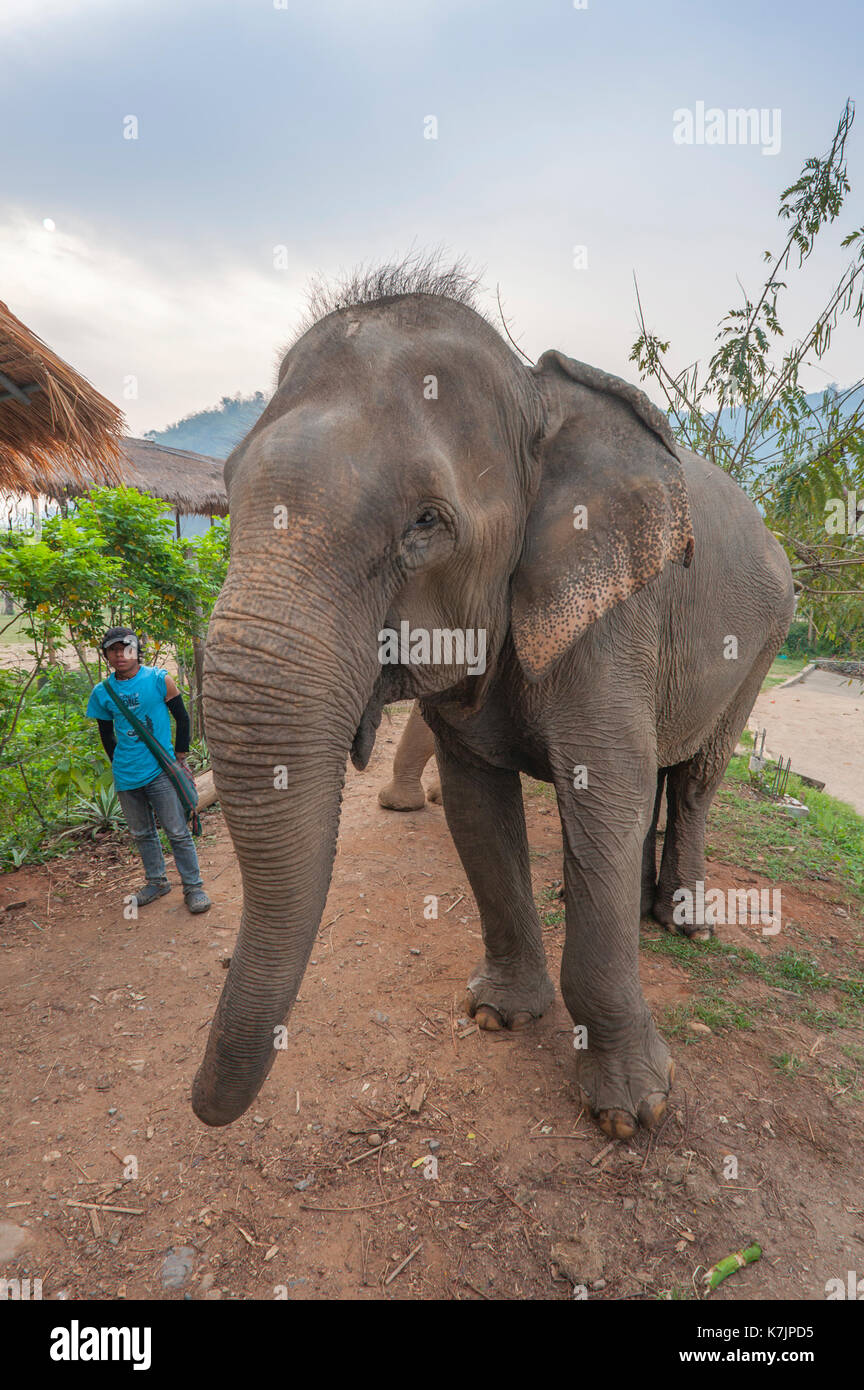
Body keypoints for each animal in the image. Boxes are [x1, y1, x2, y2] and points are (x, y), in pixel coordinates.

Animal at [194, 261, 800, 1139]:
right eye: (228, 493)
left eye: (425, 523)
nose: (201, 1108)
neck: (534, 395)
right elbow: (478, 805)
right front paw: (497, 1016)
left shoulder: (611, 619)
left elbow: (604, 789)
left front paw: (632, 1113)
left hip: (767, 638)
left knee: (694, 776)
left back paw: (683, 923)